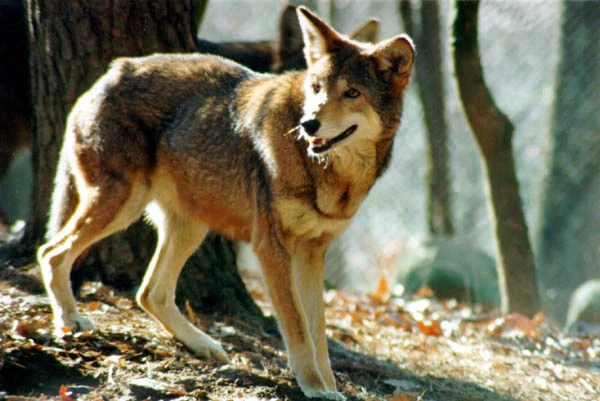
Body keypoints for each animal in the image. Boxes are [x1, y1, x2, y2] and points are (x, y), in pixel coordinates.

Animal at [37, 7, 414, 399]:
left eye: (351, 93)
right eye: (316, 89)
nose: (309, 124)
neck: (328, 172)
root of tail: (110, 73)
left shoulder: (312, 252)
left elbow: (319, 334)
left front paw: (328, 387)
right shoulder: (271, 247)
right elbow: (298, 331)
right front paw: (314, 387)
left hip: (188, 228)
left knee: (149, 293)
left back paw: (203, 345)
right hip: (122, 205)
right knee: (52, 254)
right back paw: (70, 320)